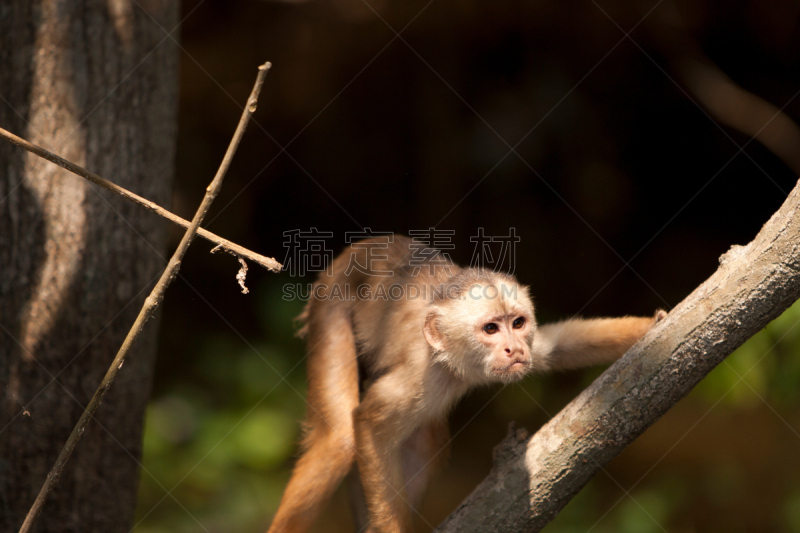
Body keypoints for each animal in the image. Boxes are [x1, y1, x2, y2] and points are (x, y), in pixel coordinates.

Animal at [268, 237, 664, 532]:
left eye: (517, 323)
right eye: (490, 329)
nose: (513, 348)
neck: (455, 362)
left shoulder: (530, 345)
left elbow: (559, 346)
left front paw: (657, 325)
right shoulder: (423, 375)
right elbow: (367, 425)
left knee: (425, 441)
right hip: (329, 301)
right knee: (337, 442)